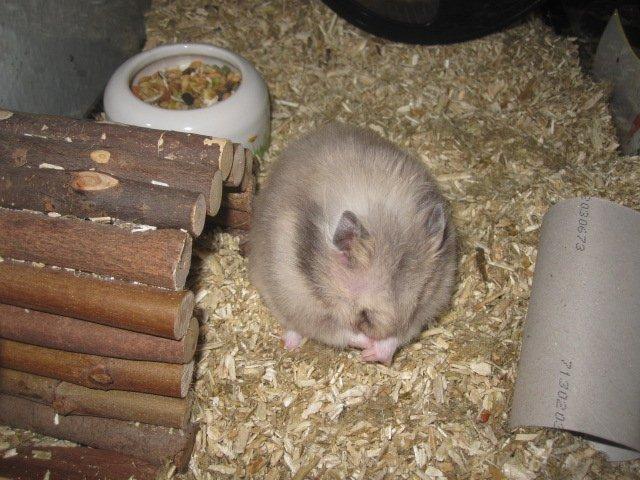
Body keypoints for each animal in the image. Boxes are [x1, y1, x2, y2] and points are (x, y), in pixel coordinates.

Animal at [248, 123, 457, 365]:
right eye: (364, 314)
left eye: (415, 305)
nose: (376, 340)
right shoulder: (305, 304)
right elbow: (343, 332)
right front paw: (367, 349)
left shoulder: (429, 303)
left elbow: (399, 335)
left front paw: (376, 353)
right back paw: (291, 344)